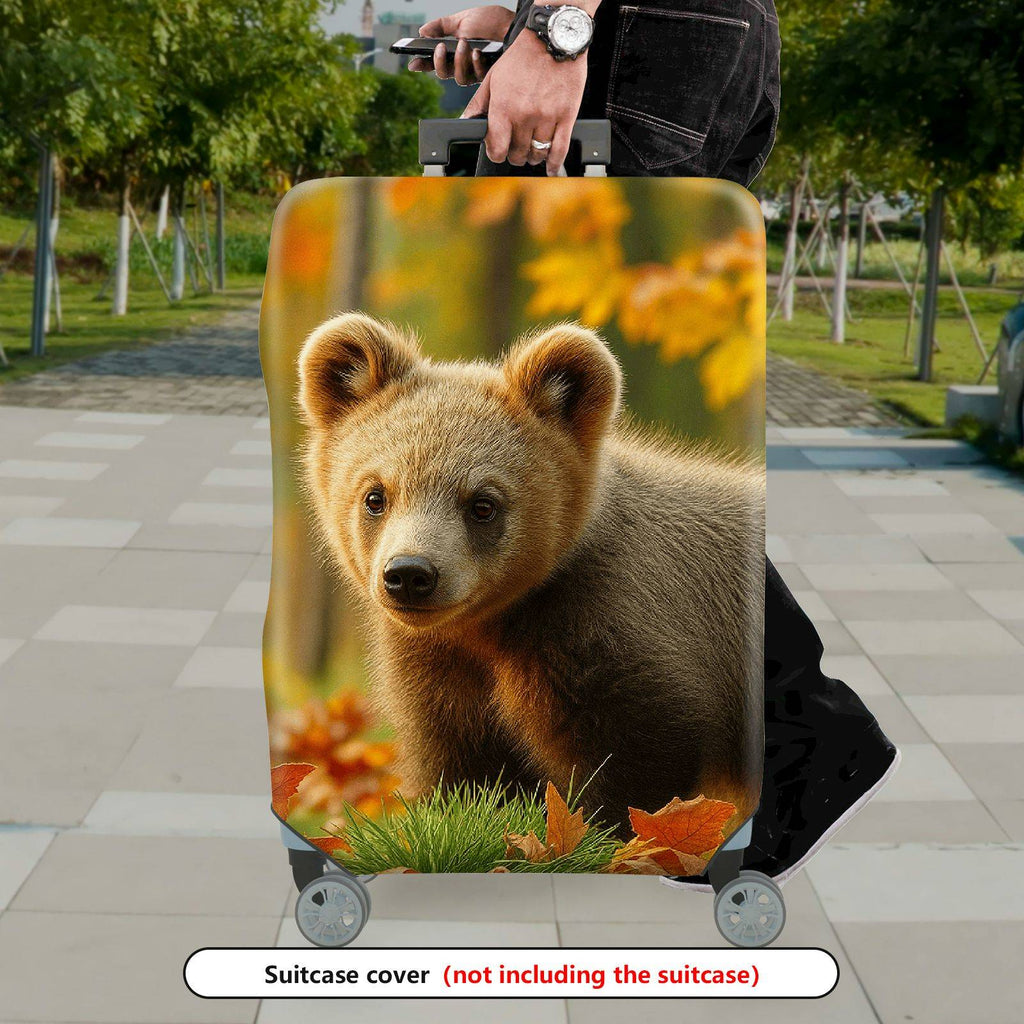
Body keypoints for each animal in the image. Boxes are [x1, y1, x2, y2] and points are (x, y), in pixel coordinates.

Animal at [297, 312, 765, 835]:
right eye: (375, 495)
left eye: (483, 503)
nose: (410, 574)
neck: (493, 629)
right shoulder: (444, 675)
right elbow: (463, 769)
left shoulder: (615, 640)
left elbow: (631, 775)